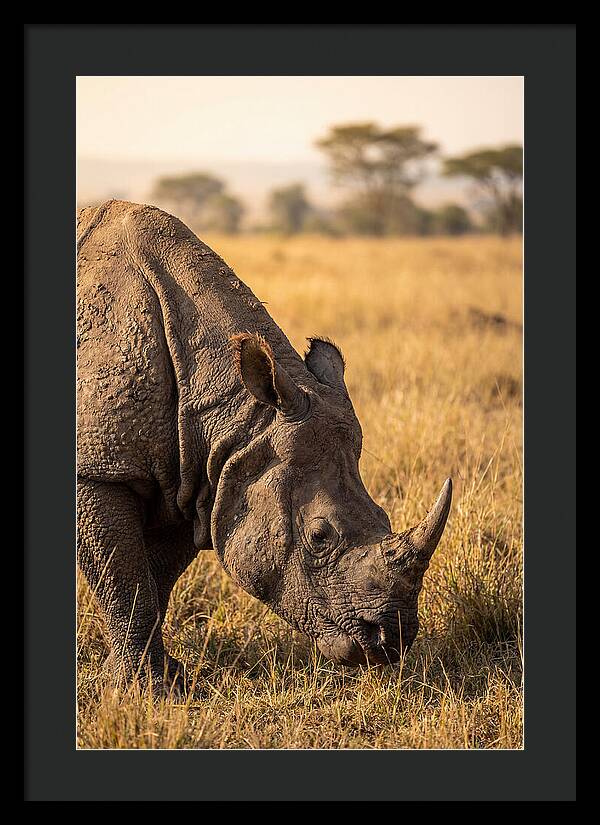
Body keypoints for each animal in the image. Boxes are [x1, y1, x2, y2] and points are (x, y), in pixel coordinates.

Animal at [77, 199, 452, 691]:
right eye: (319, 537)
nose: (391, 641)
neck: (238, 418)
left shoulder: (196, 477)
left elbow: (153, 581)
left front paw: (161, 680)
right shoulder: (100, 469)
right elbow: (126, 584)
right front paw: (146, 691)